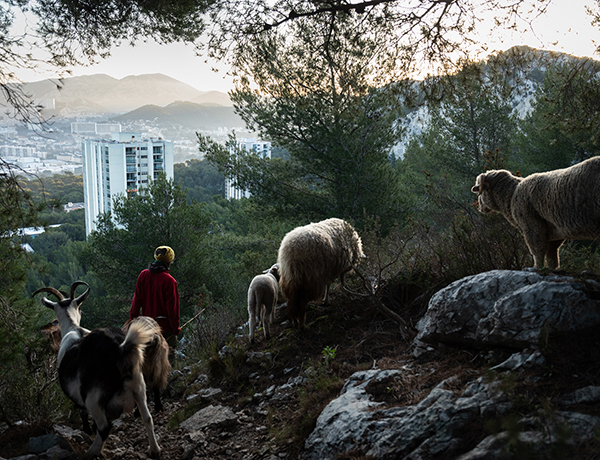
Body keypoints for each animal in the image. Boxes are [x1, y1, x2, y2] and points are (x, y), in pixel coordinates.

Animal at [34, 282, 162, 458]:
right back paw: (154, 450)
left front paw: (88, 430)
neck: (73, 328)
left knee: (105, 426)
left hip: (94, 394)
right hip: (138, 384)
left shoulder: (80, 396)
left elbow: (82, 413)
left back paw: (91, 453)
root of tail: (120, 349)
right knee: (147, 417)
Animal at [472, 156, 600, 268]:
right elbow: (552, 256)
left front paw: (537, 267)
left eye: (478, 189)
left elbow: (537, 250)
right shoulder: (554, 231)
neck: (511, 196)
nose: (480, 207)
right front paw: (552, 269)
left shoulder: (531, 225)